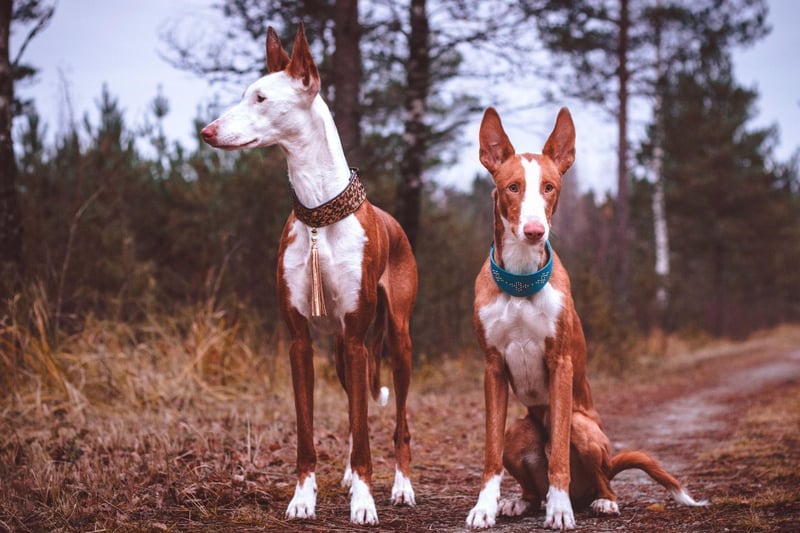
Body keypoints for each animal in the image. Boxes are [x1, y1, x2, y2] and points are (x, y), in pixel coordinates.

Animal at [199, 23, 416, 524]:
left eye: (260, 98)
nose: (207, 131)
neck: (319, 214)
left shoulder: (358, 338)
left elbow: (366, 431)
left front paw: (364, 502)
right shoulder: (300, 341)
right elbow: (310, 431)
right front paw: (304, 497)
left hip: (395, 340)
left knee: (398, 423)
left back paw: (401, 485)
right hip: (339, 350)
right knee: (358, 414)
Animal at [462, 107, 708, 528]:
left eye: (549, 187)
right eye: (512, 187)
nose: (534, 231)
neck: (521, 281)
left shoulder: (561, 364)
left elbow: (559, 451)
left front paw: (560, 511)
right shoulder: (492, 368)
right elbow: (490, 451)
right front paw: (485, 507)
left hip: (586, 429)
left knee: (599, 480)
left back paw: (597, 501)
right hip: (518, 433)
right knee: (533, 485)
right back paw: (522, 501)